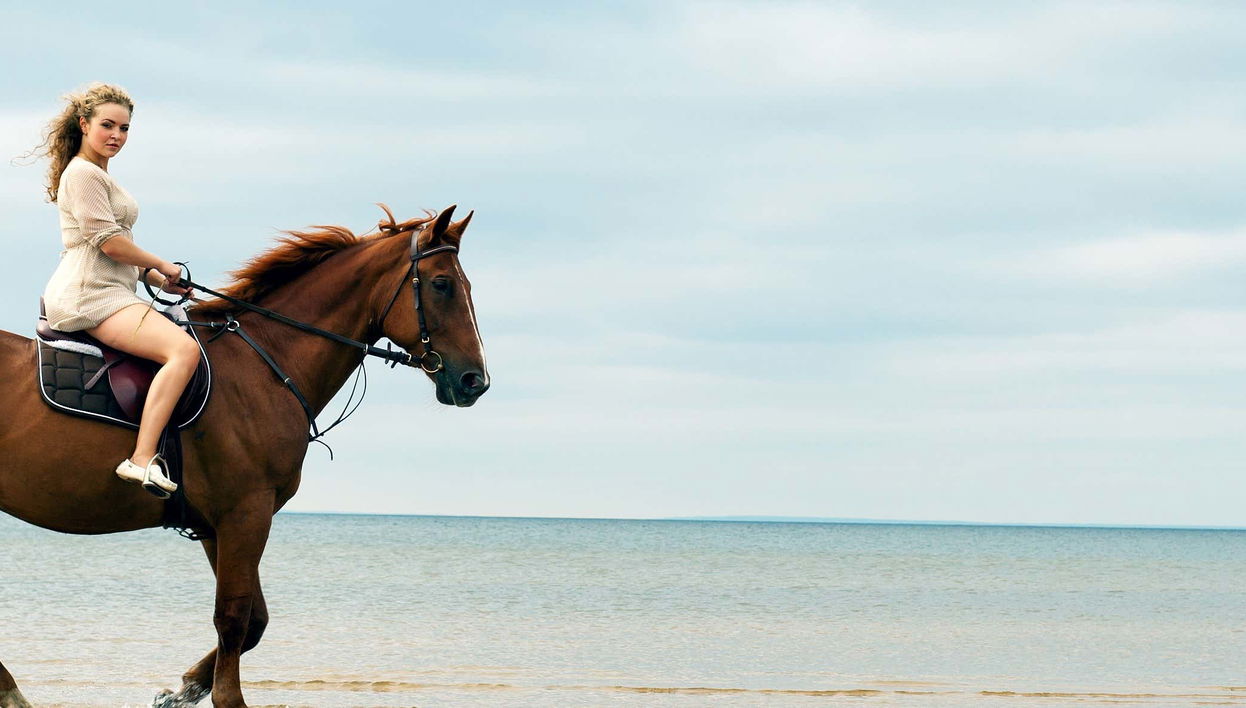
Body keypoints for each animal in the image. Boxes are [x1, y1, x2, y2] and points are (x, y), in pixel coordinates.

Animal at [0, 204, 489, 708]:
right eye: (441, 284)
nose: (474, 381)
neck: (265, 365)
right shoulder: (246, 514)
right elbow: (233, 617)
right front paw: (225, 696)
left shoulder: (216, 525)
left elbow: (254, 620)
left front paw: (184, 688)